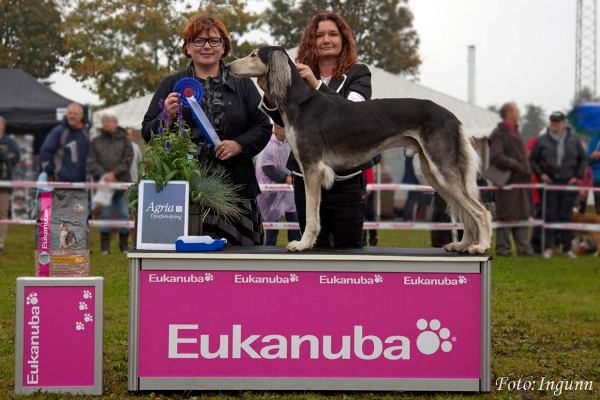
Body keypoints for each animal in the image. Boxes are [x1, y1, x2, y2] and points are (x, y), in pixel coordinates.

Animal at [230, 47, 492, 253]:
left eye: (254, 54)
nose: (229, 65)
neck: (301, 103)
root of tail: (452, 117)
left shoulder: (312, 168)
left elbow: (312, 216)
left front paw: (303, 244)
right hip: (434, 173)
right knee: (465, 211)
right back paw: (462, 244)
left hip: (442, 169)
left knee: (480, 212)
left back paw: (480, 246)